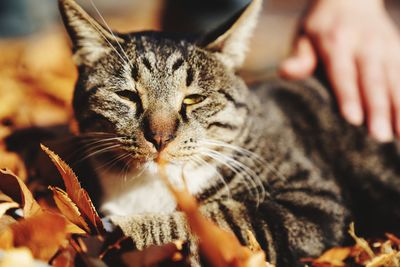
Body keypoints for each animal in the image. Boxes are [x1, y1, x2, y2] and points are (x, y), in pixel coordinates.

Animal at [58, 0, 400, 266]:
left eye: (193, 99)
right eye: (128, 96)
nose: (160, 137)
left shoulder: (314, 203)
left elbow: (216, 218)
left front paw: (124, 230)